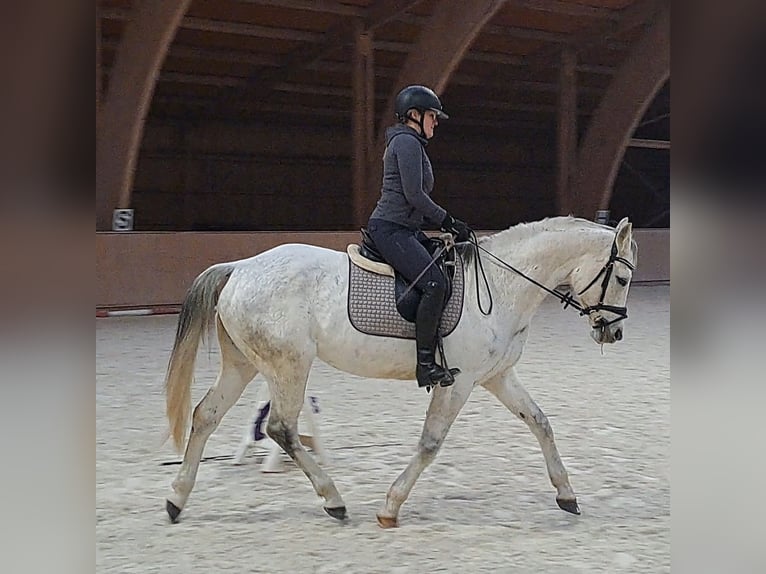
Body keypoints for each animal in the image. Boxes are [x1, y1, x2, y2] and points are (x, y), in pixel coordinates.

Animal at [164, 216, 637, 527]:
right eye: (622, 279)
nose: (613, 332)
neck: (503, 287)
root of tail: (239, 268)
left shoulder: (496, 376)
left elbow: (540, 423)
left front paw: (567, 495)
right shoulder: (460, 381)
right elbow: (430, 444)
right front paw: (390, 507)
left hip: (244, 364)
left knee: (205, 415)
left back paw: (177, 500)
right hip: (289, 366)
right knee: (281, 427)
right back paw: (334, 501)